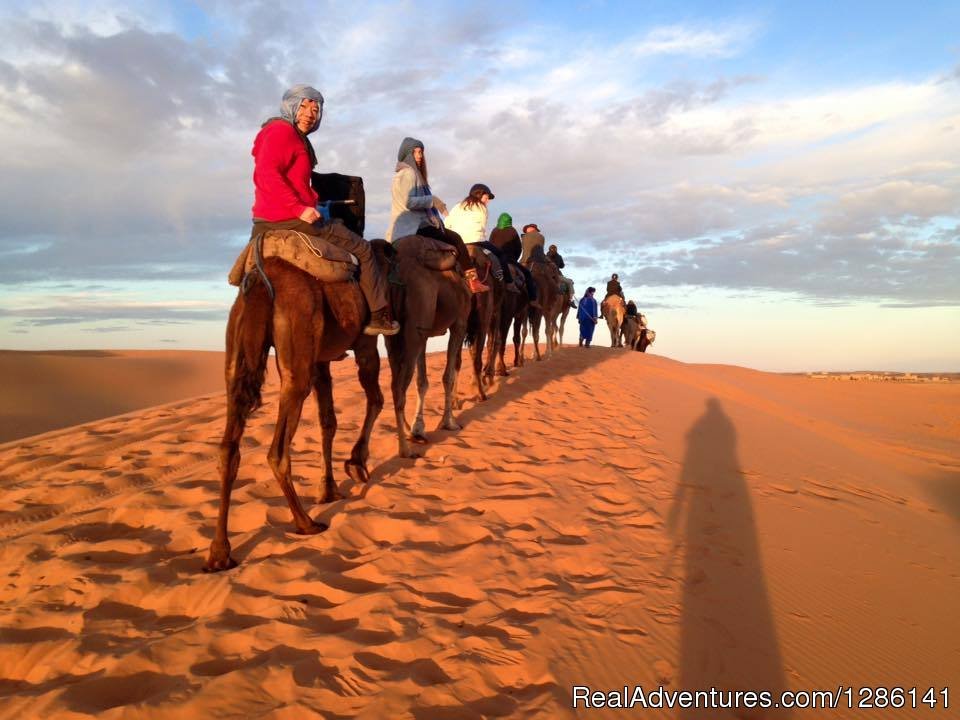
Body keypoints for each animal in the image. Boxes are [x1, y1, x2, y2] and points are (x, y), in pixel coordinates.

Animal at [205, 256, 382, 572]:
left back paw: (219, 554)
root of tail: (262, 285)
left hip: (235, 352)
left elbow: (328, 422)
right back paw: (305, 522)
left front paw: (329, 490)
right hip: (297, 355)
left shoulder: (321, 361)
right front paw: (356, 464)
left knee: (228, 449)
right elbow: (375, 400)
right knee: (277, 450)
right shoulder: (365, 343)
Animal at [378, 239, 476, 458]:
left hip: (395, 334)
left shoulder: (425, 335)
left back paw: (407, 432)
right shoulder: (459, 323)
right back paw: (404, 449)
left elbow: (421, 382)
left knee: (395, 383)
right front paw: (449, 423)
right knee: (399, 386)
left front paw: (418, 428)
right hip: (416, 325)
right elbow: (448, 376)